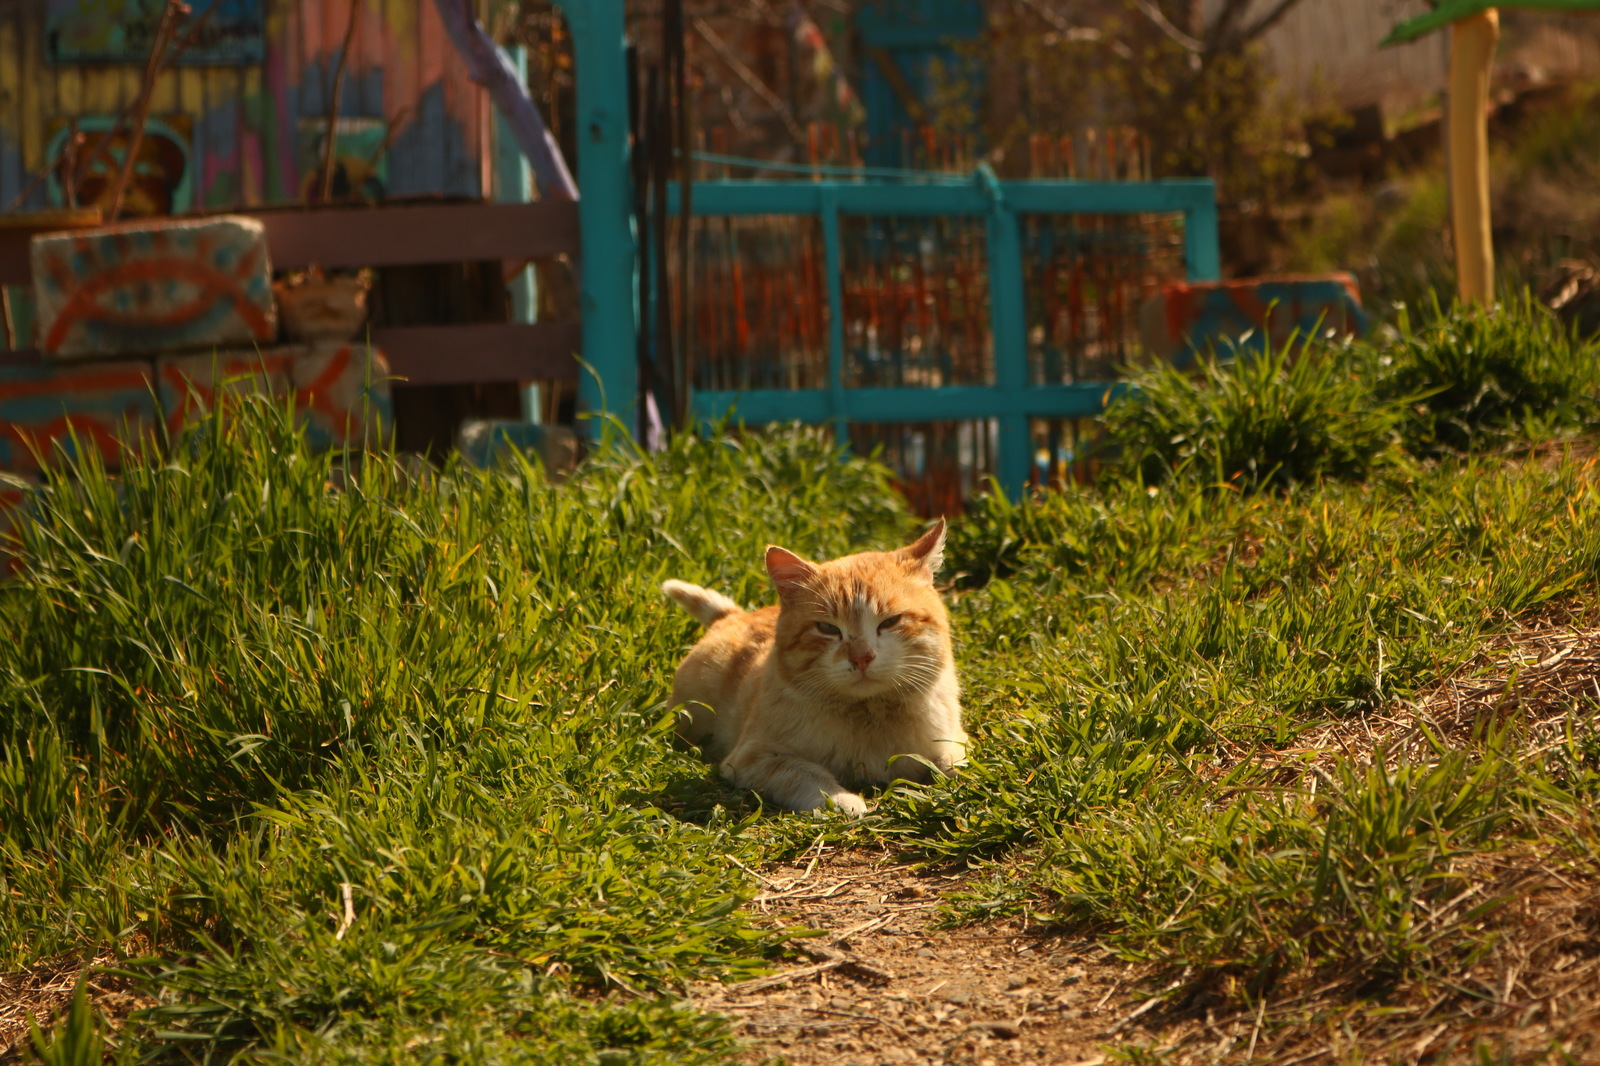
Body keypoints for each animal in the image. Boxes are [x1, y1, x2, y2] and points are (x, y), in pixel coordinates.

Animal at [662, 515, 960, 813]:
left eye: (890, 621)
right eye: (827, 628)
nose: (861, 657)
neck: (869, 715)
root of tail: (733, 615)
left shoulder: (953, 739)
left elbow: (954, 762)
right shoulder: (753, 758)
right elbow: (806, 774)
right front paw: (844, 801)